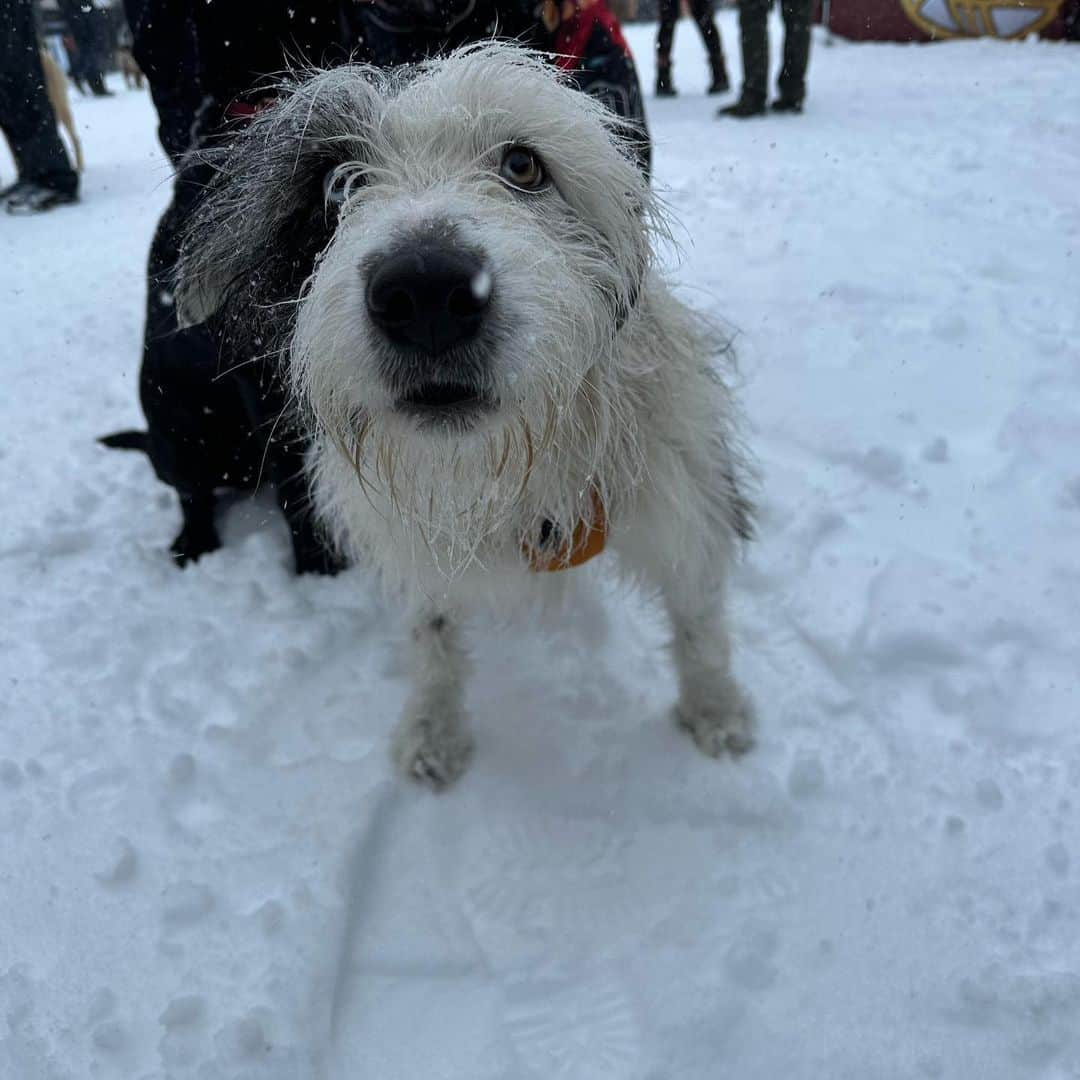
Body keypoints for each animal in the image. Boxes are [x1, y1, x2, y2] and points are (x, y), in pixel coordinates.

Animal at [174, 46, 760, 790]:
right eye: (335, 186)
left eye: (523, 165)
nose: (427, 292)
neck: (502, 470)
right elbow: (433, 635)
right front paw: (433, 730)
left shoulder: (683, 497)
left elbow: (697, 616)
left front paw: (715, 712)